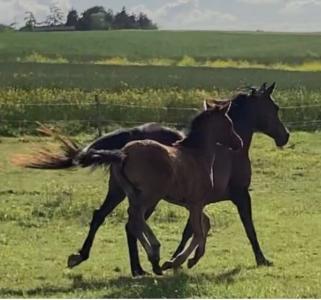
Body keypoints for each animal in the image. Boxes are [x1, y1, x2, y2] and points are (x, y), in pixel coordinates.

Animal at [14, 82, 288, 276]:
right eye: (274, 109)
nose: (284, 136)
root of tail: (125, 147)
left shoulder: (198, 201)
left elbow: (195, 229)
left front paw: (175, 261)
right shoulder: (236, 195)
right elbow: (245, 227)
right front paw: (261, 259)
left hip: (122, 191)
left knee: (106, 217)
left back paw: (119, 264)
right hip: (147, 196)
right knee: (129, 221)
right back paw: (142, 263)